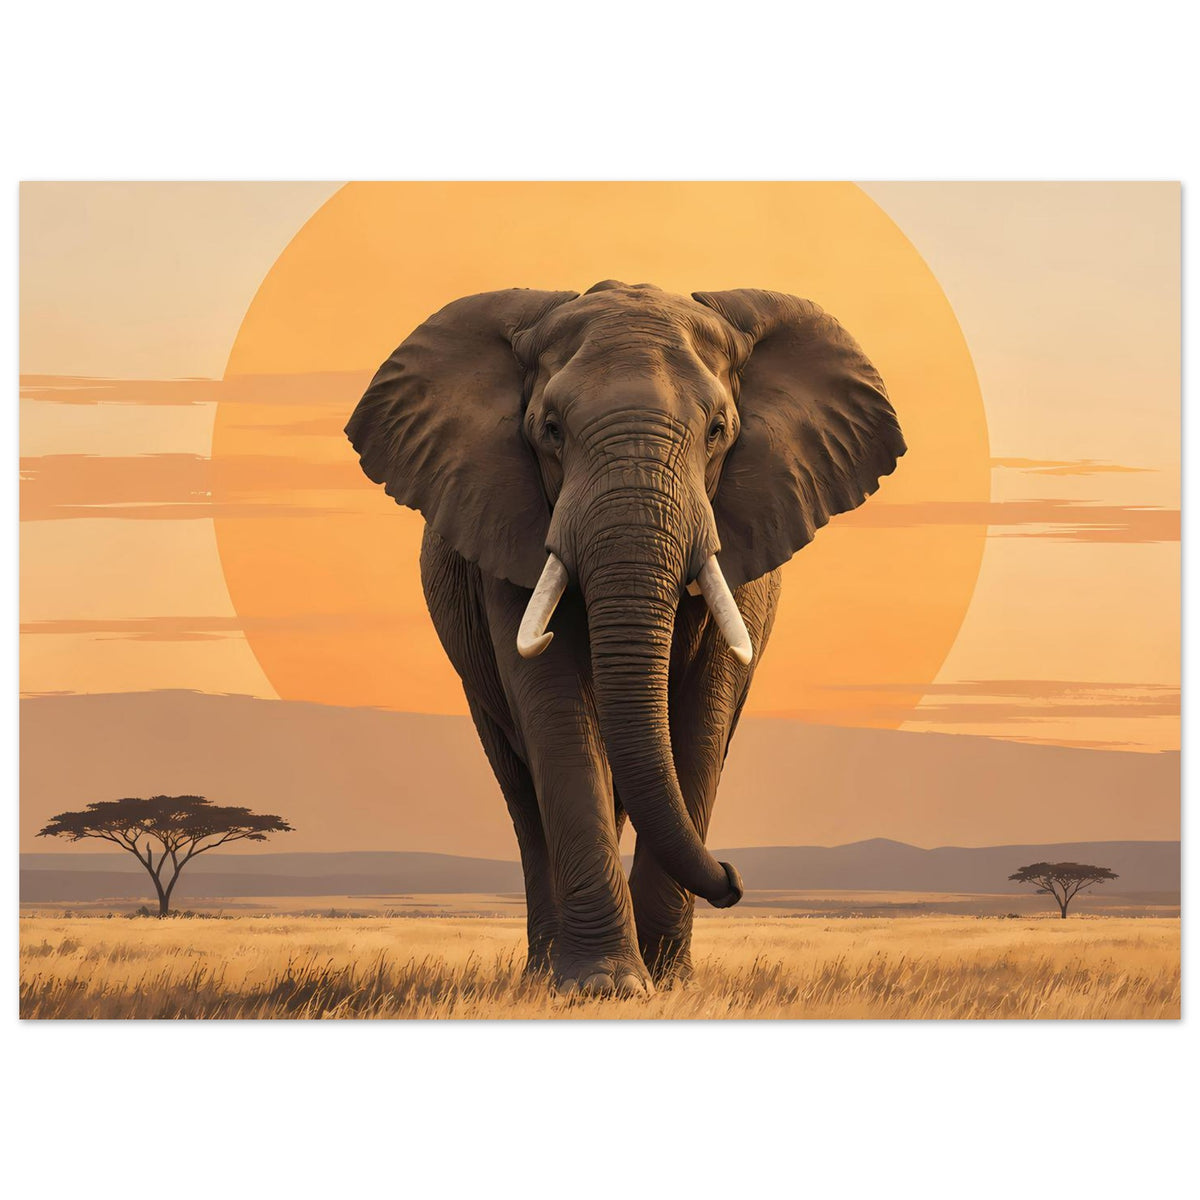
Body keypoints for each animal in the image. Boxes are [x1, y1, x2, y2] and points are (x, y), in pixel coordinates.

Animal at [345, 280, 904, 995]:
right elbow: (555, 710)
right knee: (522, 789)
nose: (734, 880)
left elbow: (702, 718)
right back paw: (542, 974)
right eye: (550, 430)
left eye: (718, 430)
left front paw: (669, 984)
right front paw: (604, 987)